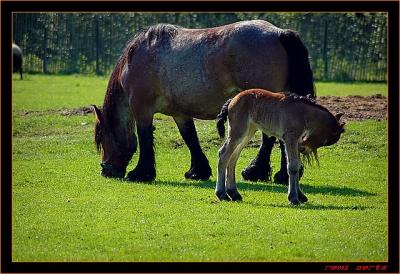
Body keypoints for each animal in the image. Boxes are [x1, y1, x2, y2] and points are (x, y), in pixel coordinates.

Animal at [91, 20, 316, 183]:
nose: (105, 170)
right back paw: (282, 175)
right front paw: (198, 171)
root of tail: (279, 33)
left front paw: (141, 173)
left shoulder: (142, 110)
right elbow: (190, 138)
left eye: (101, 138)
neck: (135, 60)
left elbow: (145, 139)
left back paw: (255, 172)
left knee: (269, 138)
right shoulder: (180, 113)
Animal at [216, 89, 344, 204]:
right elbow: (292, 166)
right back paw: (222, 194)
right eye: (326, 140)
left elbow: (297, 166)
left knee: (232, 158)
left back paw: (234, 194)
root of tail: (232, 100)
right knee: (224, 154)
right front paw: (293, 198)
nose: (304, 149)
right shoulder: (290, 139)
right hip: (238, 132)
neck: (302, 113)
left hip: (247, 134)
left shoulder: (296, 141)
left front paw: (301, 196)